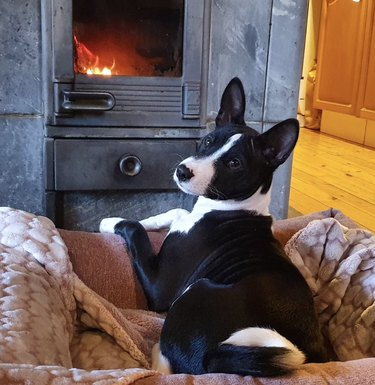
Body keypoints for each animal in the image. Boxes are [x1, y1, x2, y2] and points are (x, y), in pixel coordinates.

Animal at [99, 77, 326, 376]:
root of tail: (214, 360)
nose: (182, 171)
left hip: (196, 290)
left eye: (234, 163)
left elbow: (136, 229)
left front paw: (109, 222)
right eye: (208, 141)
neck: (233, 208)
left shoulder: (161, 289)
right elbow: (177, 211)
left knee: (167, 362)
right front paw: (153, 221)